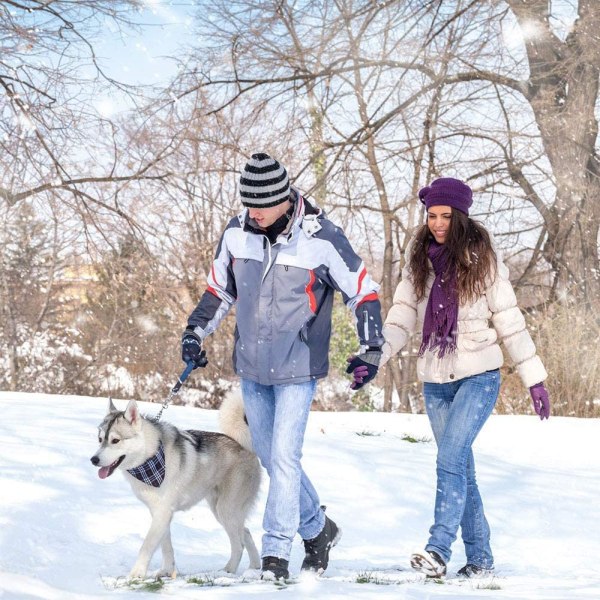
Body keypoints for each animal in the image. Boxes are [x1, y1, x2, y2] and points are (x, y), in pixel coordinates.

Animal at [89, 392, 260, 580]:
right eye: (100, 440)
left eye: (115, 440)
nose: (93, 460)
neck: (149, 456)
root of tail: (243, 446)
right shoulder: (159, 512)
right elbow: (166, 546)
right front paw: (167, 570)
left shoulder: (163, 512)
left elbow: (147, 545)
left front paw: (136, 574)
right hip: (221, 511)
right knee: (246, 532)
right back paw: (254, 567)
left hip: (226, 510)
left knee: (239, 544)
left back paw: (227, 572)